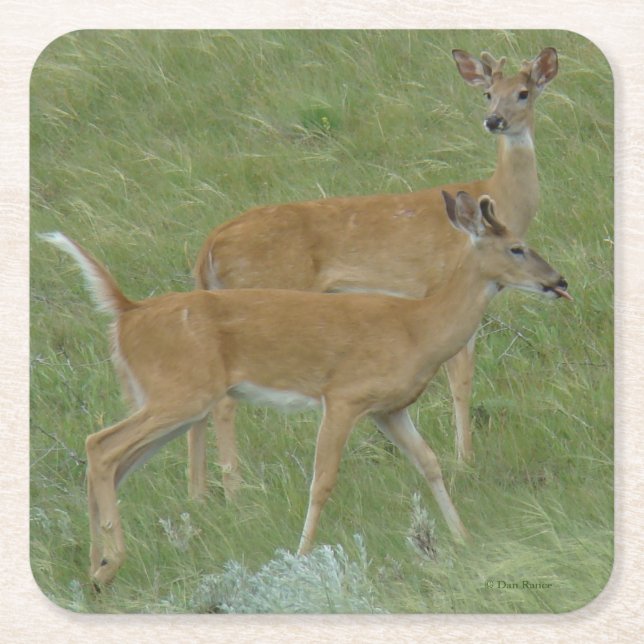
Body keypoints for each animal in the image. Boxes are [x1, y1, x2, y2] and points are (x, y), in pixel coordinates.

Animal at [41, 189, 571, 585]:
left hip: (171, 401)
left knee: (110, 459)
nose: (560, 280)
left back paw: (96, 566)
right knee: (101, 445)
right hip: (180, 393)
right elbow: (322, 480)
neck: (418, 328)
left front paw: (462, 538)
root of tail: (127, 312)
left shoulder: (390, 408)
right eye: (517, 247)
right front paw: (301, 554)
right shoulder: (343, 396)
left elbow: (431, 464)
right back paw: (109, 565)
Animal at [185, 46, 559, 500]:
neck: (499, 196)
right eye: (488, 92)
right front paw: (465, 460)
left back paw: (199, 495)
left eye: (523, 92)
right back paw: (234, 489)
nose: (494, 120)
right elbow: (462, 380)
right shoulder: (442, 285)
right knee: (222, 399)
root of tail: (209, 245)